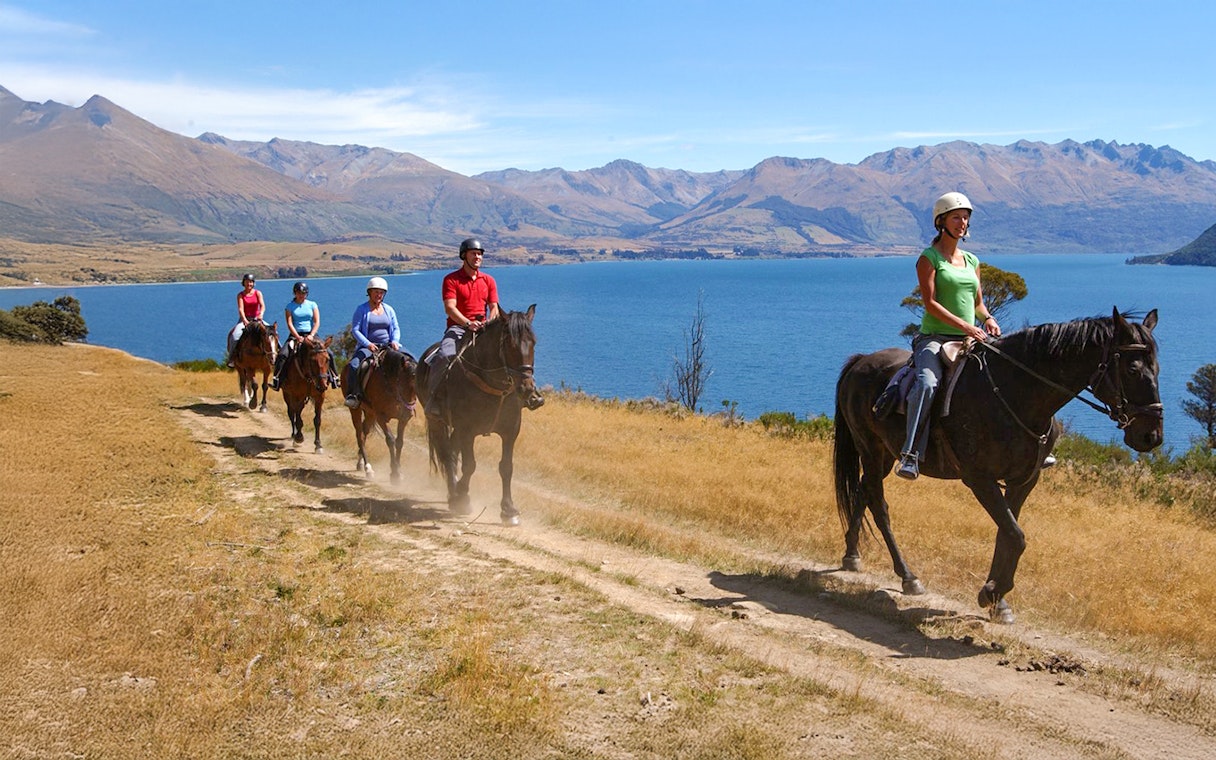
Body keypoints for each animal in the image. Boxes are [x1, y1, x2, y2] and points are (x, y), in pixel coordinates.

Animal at [340, 348, 418, 482]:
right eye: (406, 381)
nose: (410, 406)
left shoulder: (403, 419)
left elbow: (400, 442)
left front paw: (399, 471)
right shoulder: (381, 416)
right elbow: (390, 440)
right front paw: (394, 474)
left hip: (370, 414)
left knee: (364, 433)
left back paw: (360, 463)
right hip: (356, 410)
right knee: (360, 436)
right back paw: (368, 468)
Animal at [416, 305, 545, 526]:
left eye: (533, 343)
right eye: (510, 345)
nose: (527, 389)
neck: (493, 386)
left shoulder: (510, 431)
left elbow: (506, 467)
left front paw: (508, 510)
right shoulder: (467, 430)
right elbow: (469, 466)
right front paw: (462, 496)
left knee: (452, 452)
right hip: (438, 422)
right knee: (447, 455)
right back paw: (454, 494)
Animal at [833, 308, 1162, 623]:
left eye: (1157, 368)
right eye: (1132, 369)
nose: (1151, 435)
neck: (1015, 395)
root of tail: (862, 361)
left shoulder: (1023, 481)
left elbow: (1007, 533)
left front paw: (997, 599)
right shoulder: (980, 480)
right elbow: (1016, 536)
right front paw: (992, 593)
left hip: (884, 455)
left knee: (862, 491)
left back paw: (851, 554)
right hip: (870, 450)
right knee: (880, 507)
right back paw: (907, 576)